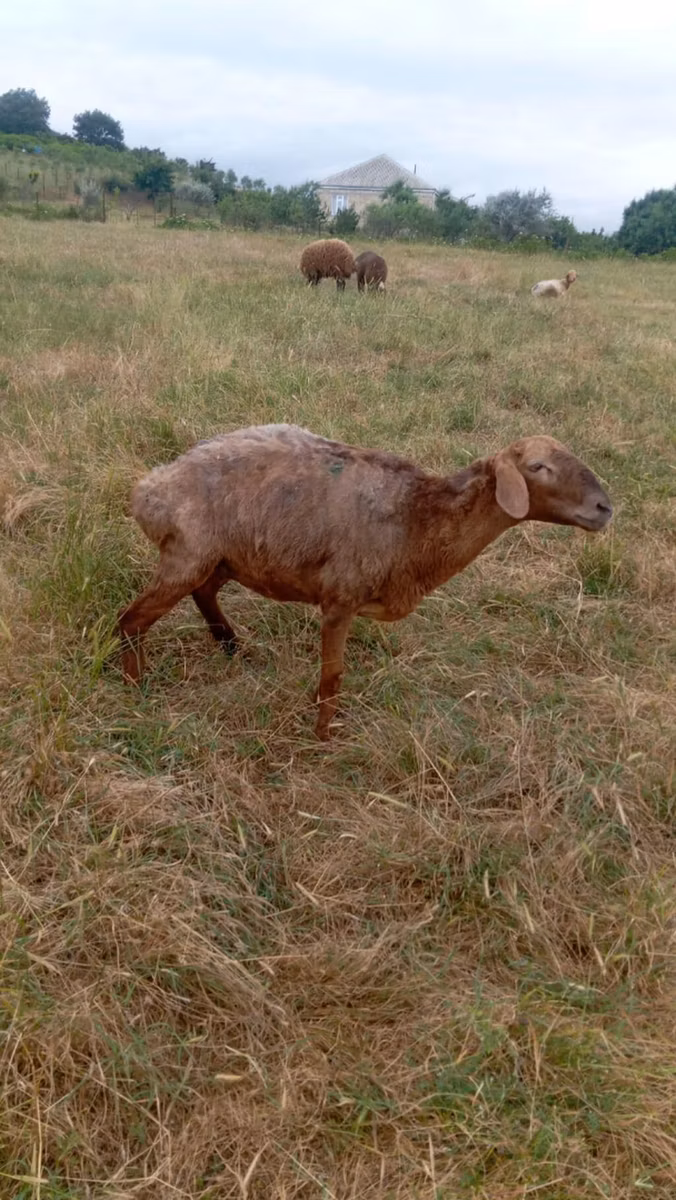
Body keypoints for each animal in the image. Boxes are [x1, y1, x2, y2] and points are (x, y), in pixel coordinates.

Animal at [118, 424, 612, 740]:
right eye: (538, 466)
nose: (605, 507)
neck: (419, 519)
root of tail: (149, 489)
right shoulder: (340, 599)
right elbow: (333, 676)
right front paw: (323, 737)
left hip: (221, 557)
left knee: (202, 593)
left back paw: (231, 647)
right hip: (187, 553)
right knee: (131, 620)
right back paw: (135, 690)